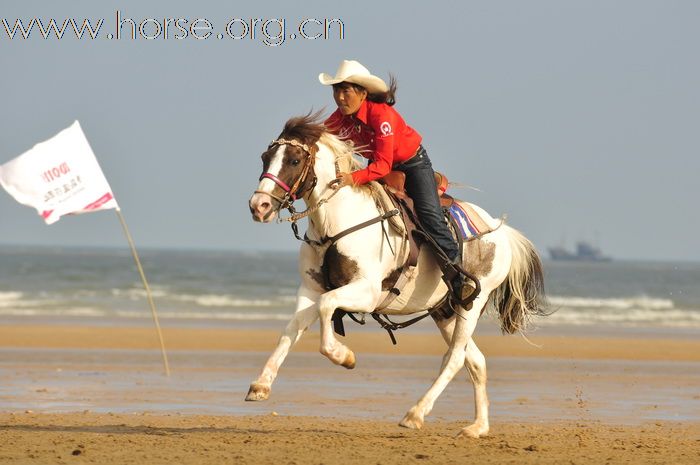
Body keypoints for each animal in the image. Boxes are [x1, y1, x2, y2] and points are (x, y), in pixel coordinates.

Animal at [246, 114, 548, 436]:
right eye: (265, 157)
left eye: (293, 159)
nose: (259, 206)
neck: (336, 224)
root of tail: (500, 231)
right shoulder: (310, 290)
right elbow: (292, 328)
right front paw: (261, 385)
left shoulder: (365, 292)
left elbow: (328, 307)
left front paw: (344, 356)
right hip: (444, 310)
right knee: (475, 361)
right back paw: (477, 427)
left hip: (471, 303)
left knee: (455, 358)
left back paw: (415, 413)